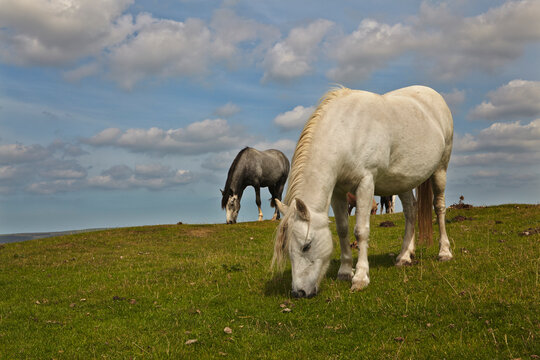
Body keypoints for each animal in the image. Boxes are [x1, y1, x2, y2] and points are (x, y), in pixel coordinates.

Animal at [272, 85, 454, 298]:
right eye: (287, 250)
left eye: (306, 246)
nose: (298, 292)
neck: (347, 131)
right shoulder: (338, 191)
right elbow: (342, 229)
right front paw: (344, 271)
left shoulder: (366, 183)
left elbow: (361, 231)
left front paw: (360, 277)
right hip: (402, 181)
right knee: (411, 211)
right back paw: (404, 256)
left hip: (441, 169)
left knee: (439, 207)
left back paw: (444, 252)